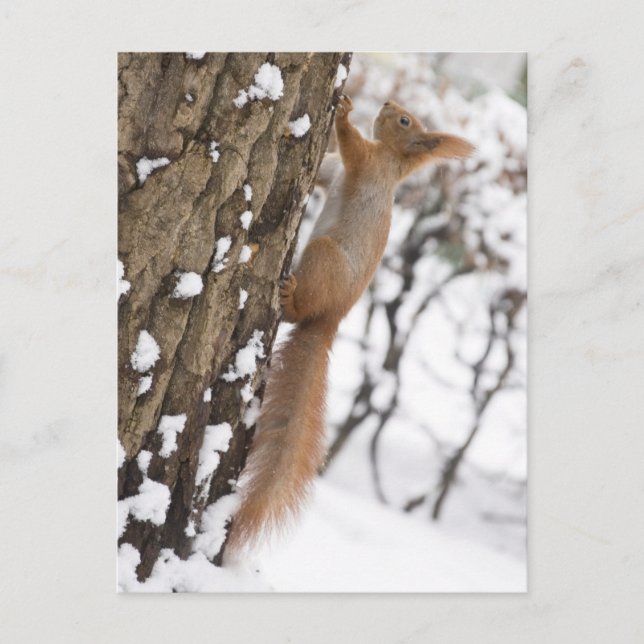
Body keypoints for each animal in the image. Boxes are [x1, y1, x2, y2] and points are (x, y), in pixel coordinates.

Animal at [226, 95, 473, 553]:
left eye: (404, 120)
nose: (388, 102)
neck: (394, 161)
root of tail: (330, 322)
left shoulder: (367, 164)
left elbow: (353, 147)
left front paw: (342, 111)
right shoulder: (336, 169)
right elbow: (327, 168)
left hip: (323, 256)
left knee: (301, 309)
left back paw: (290, 299)